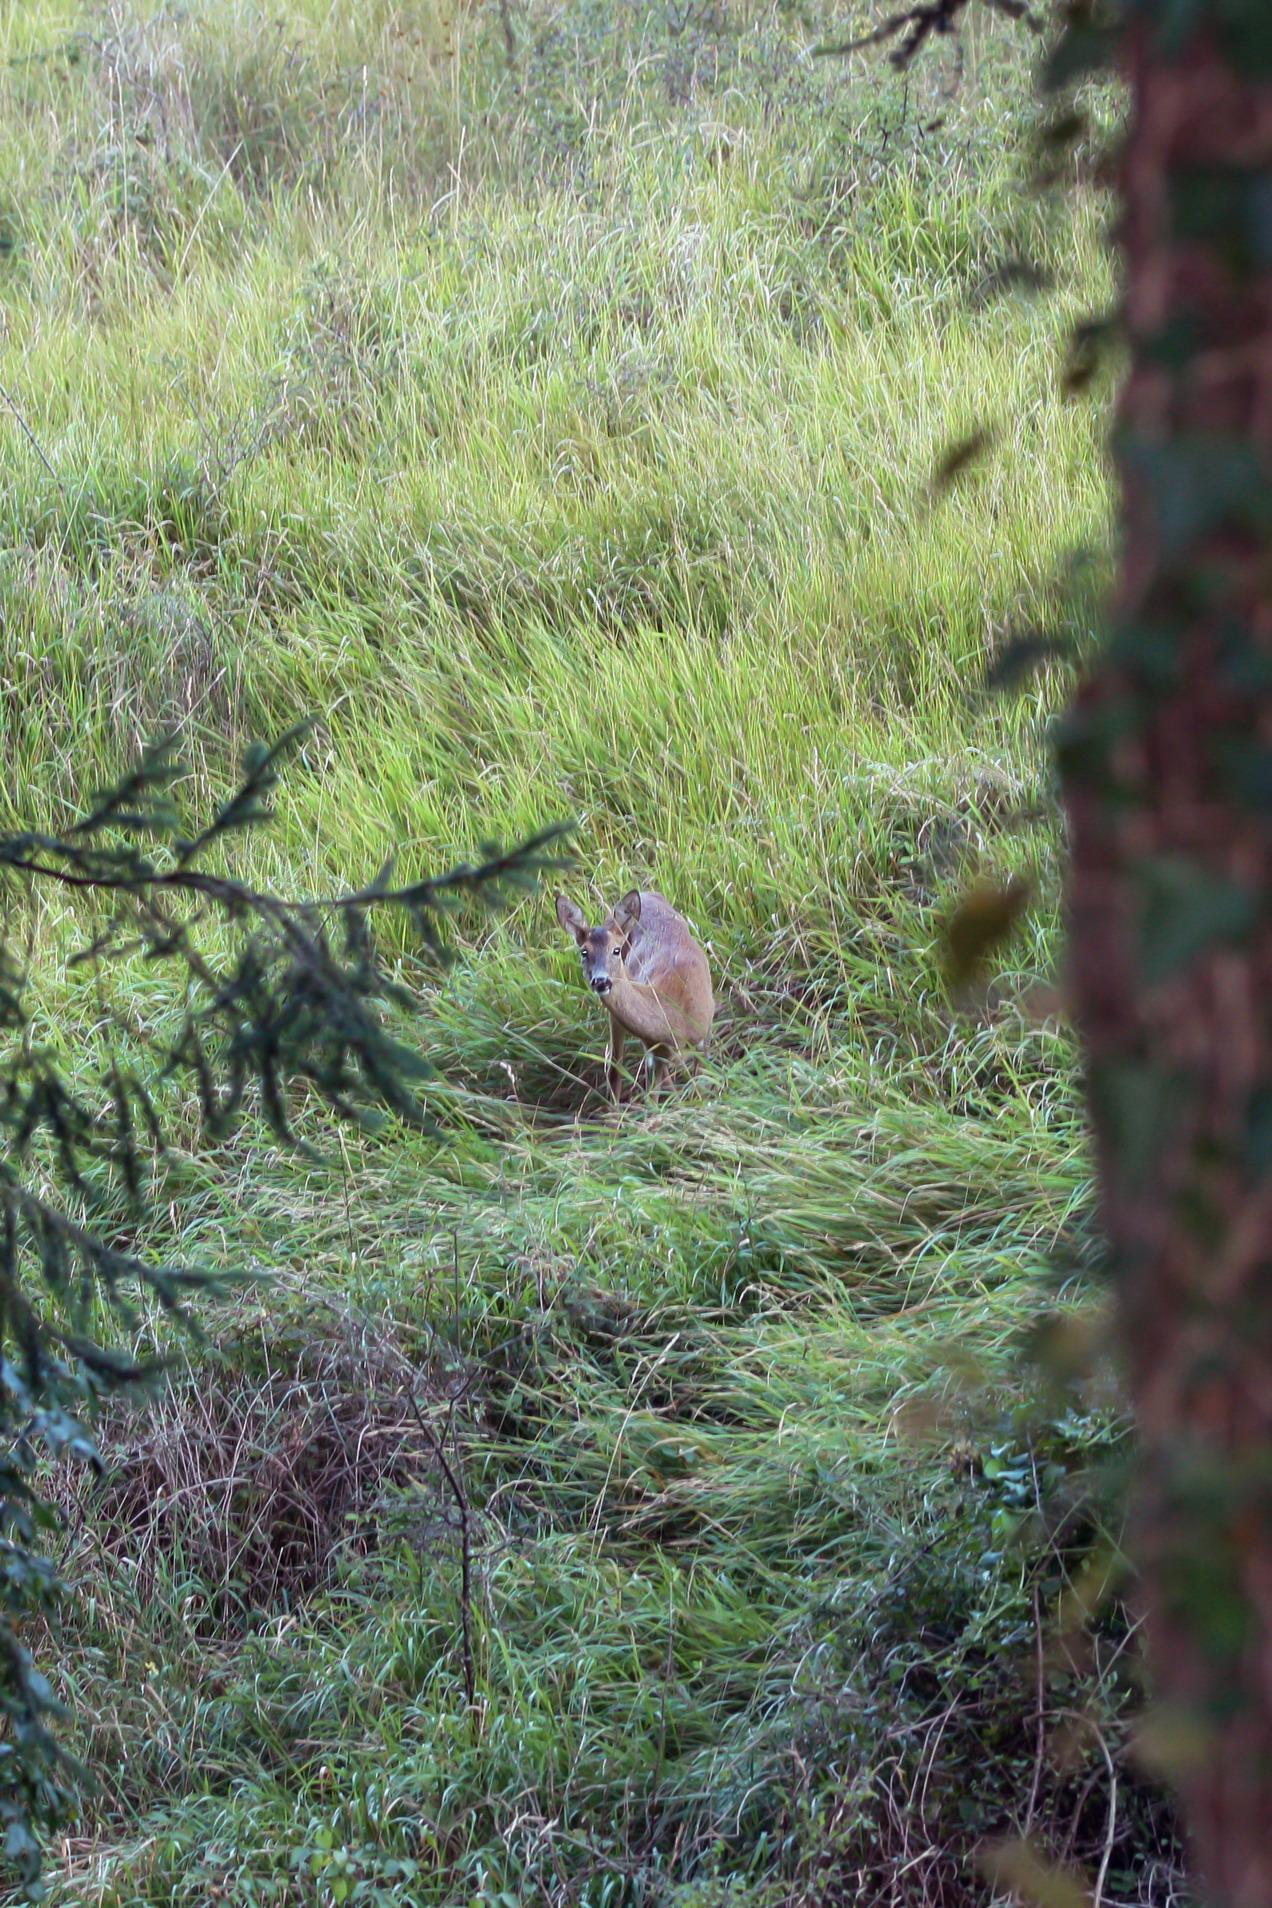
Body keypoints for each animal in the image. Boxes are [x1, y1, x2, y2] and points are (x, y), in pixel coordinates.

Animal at [555, 889, 714, 1098]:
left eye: (615, 950)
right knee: (615, 1067)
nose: (601, 981)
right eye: (584, 952)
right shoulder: (653, 1052)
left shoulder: (704, 1036)